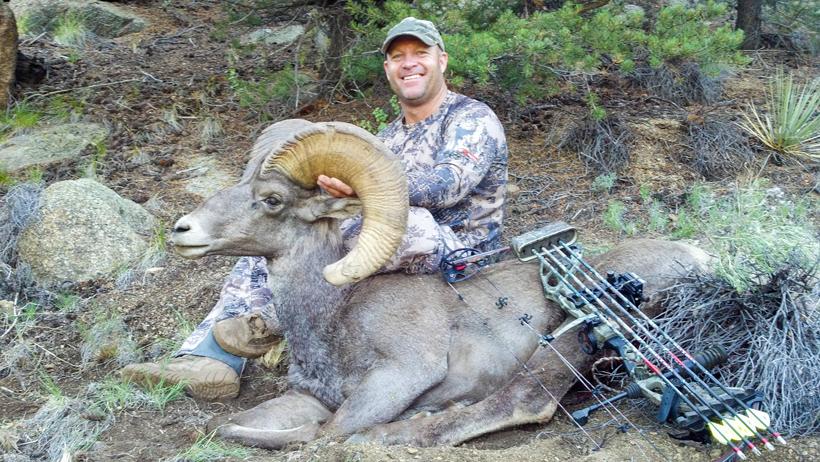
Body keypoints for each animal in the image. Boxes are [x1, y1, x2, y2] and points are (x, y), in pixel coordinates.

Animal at [171, 119, 712, 448]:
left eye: (272, 200)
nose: (182, 230)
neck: (333, 317)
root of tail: (701, 262)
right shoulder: (308, 398)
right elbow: (237, 426)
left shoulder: (401, 374)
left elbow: (327, 431)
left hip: (572, 337)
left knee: (521, 400)